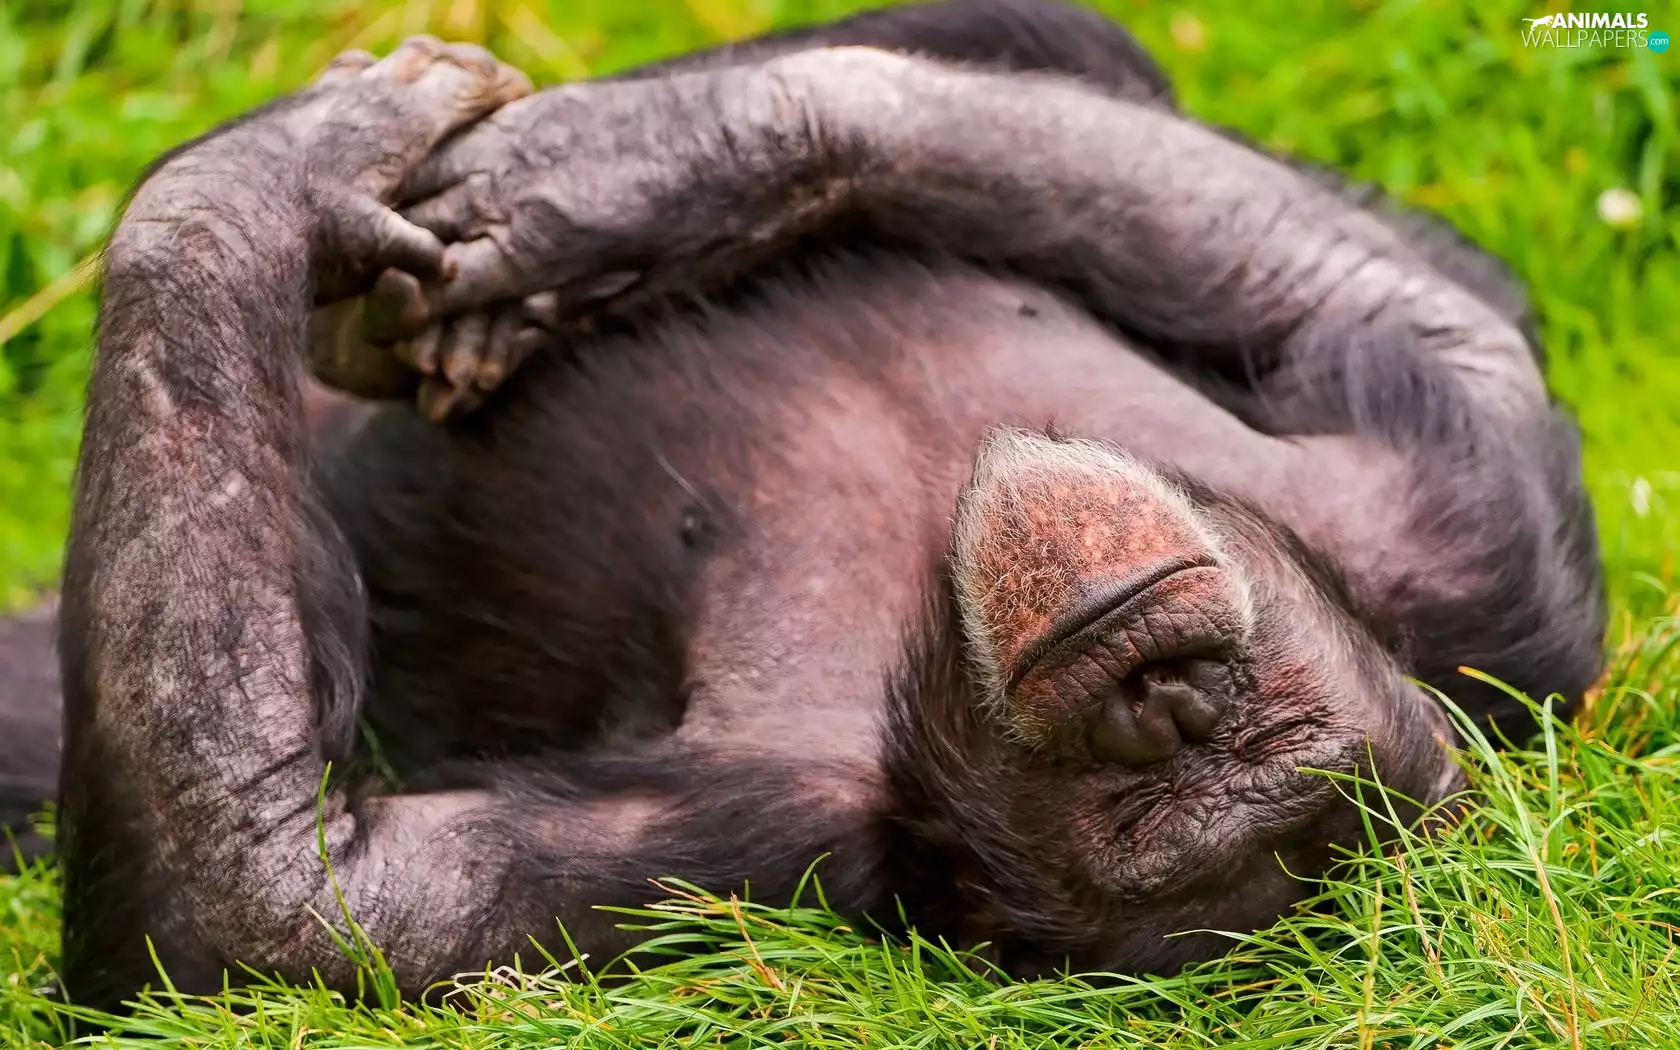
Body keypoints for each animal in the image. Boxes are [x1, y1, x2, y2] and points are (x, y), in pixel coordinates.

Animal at [38, 0, 1602, 1014]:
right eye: (1223, 731)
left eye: (1189, 806)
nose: (1162, 701)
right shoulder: (1458, 520)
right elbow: (1415, 306)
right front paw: (632, 165)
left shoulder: (740, 852)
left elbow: (266, 904)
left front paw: (268, 179)